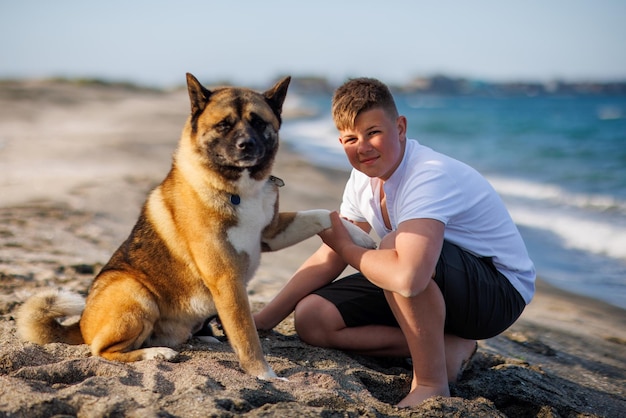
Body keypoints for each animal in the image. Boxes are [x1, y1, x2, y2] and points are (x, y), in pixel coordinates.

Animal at [15, 73, 376, 380]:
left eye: (259, 122)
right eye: (224, 125)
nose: (246, 145)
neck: (236, 188)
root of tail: (80, 324)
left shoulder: (270, 234)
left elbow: (322, 213)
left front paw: (360, 236)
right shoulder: (227, 280)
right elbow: (247, 336)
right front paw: (264, 375)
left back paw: (202, 338)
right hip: (134, 292)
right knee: (101, 350)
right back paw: (156, 353)